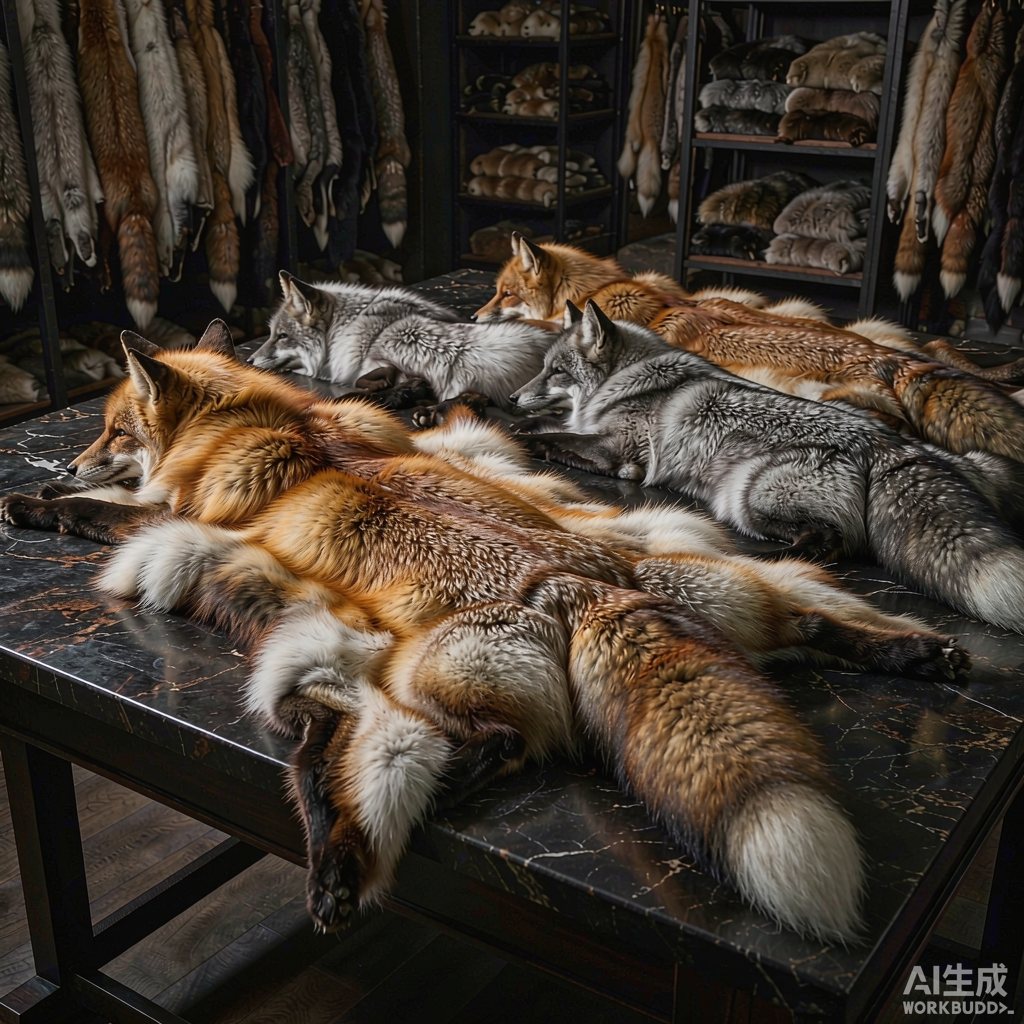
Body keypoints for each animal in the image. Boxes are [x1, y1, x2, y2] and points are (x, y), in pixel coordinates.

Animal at [0, 320, 971, 945]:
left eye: (112, 428)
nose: (72, 455)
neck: (264, 423)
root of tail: (577, 583)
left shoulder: (172, 517)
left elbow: (101, 515)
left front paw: (34, 500)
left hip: (428, 683)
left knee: (497, 743)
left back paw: (365, 841)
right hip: (724, 604)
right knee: (807, 619)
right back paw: (912, 649)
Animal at [512, 301, 1024, 632]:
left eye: (555, 371)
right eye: (543, 368)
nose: (514, 396)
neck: (625, 382)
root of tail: (886, 444)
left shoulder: (622, 454)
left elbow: (546, 438)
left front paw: (519, 432)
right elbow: (549, 426)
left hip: (746, 496)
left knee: (832, 542)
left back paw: (780, 560)